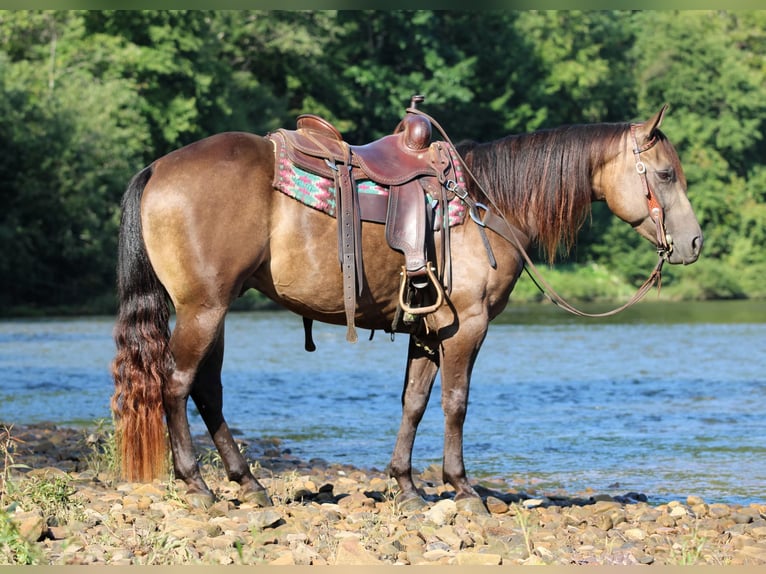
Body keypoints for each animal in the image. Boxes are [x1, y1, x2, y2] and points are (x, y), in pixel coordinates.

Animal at [110, 104, 702, 512]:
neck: (487, 204)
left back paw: (248, 482)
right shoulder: (468, 326)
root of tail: (157, 168)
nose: (694, 243)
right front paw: (462, 487)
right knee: (176, 385)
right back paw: (198, 484)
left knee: (207, 390)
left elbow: (413, 403)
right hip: (203, 309)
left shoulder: (428, 330)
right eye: (665, 175)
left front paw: (407, 486)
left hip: (214, 310)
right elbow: (455, 404)